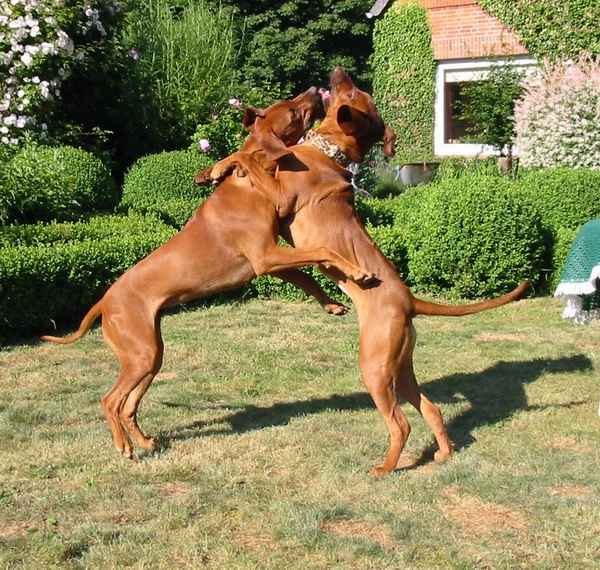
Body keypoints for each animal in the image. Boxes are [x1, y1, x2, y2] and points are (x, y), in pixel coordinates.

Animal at [41, 86, 377, 459]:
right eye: (291, 109)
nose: (315, 91)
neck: (251, 181)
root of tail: (103, 302)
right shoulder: (266, 257)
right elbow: (322, 251)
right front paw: (357, 271)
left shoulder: (270, 262)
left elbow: (306, 275)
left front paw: (332, 304)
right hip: (141, 355)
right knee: (109, 400)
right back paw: (124, 446)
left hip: (149, 356)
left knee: (128, 406)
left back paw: (144, 441)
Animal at [210, 67, 530, 474]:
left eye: (351, 92)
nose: (334, 73)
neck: (324, 152)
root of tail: (409, 300)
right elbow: (244, 154)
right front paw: (216, 168)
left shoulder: (281, 199)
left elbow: (250, 159)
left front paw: (226, 165)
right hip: (399, 367)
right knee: (432, 408)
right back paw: (443, 453)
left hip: (374, 368)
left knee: (401, 423)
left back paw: (387, 467)